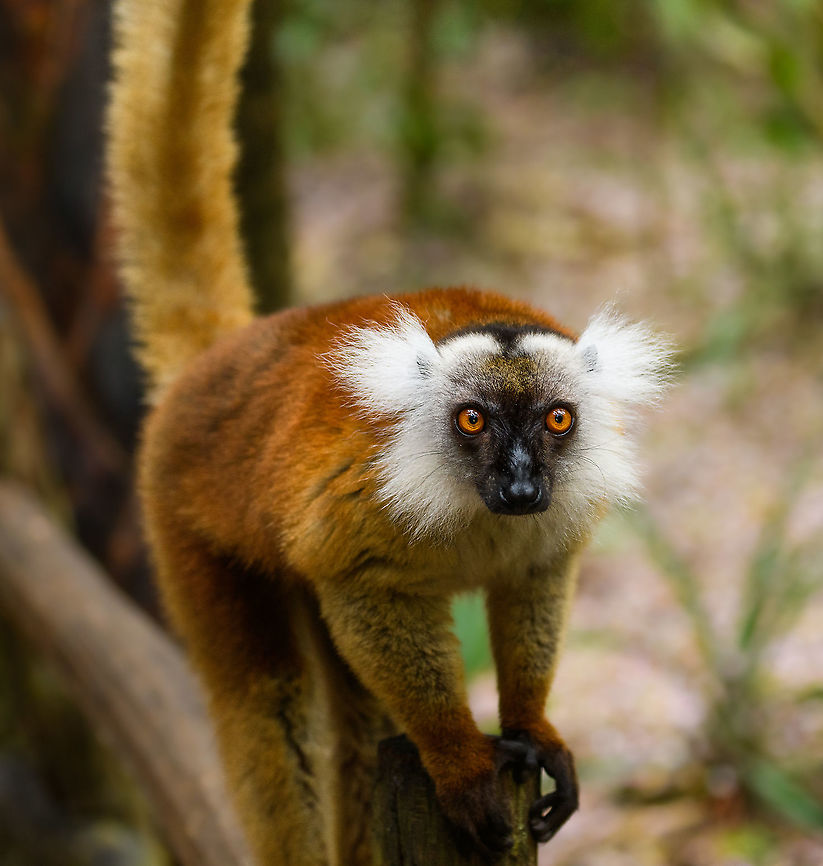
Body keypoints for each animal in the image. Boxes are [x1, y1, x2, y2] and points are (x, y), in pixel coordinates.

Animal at [107, 0, 672, 863]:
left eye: (557, 421)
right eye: (472, 421)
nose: (520, 484)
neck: (473, 503)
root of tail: (217, 363)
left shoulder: (561, 513)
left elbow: (535, 582)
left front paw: (532, 729)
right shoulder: (364, 506)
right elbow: (368, 598)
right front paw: (461, 761)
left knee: (359, 728)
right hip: (184, 518)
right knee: (267, 707)